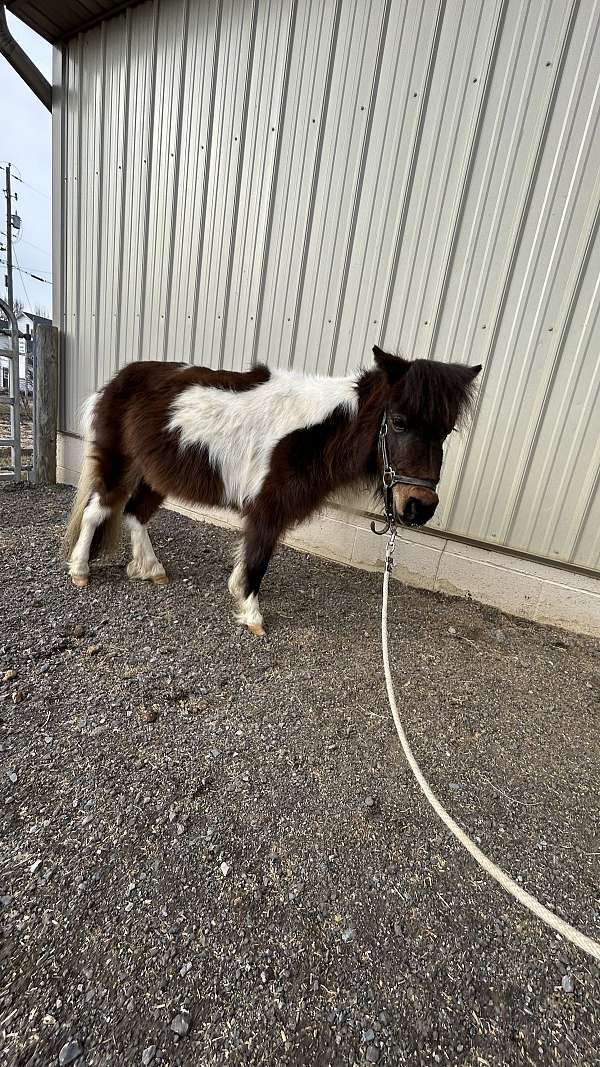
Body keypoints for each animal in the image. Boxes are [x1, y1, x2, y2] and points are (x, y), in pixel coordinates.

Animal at [64, 347, 476, 631]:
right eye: (400, 421)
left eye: (447, 430)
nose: (420, 507)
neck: (316, 432)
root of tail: (115, 382)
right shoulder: (268, 506)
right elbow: (259, 556)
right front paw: (252, 615)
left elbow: (251, 554)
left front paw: (237, 589)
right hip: (117, 462)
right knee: (97, 511)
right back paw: (81, 571)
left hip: (155, 475)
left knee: (135, 514)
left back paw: (151, 569)